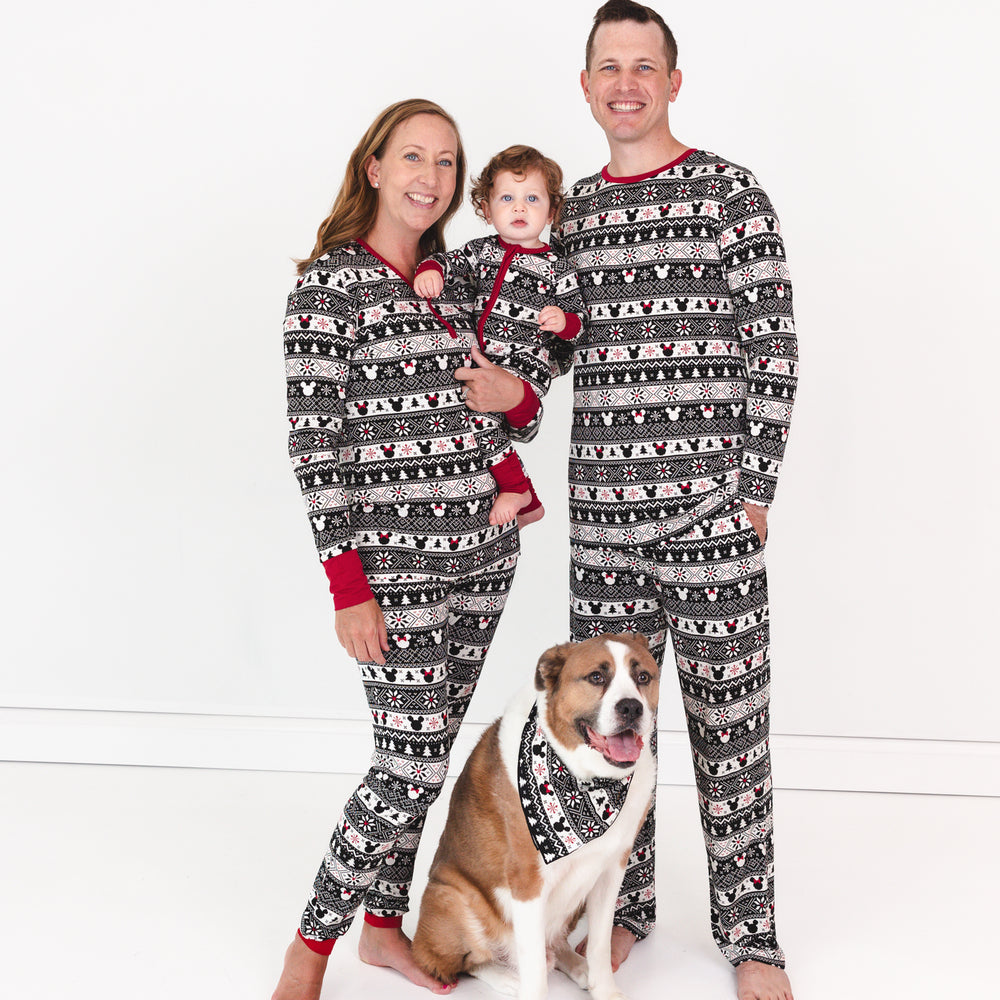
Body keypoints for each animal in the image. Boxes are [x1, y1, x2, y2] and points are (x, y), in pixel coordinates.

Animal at [410, 636, 660, 996]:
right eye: (596, 677)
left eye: (643, 677)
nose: (631, 707)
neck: (587, 780)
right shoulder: (527, 882)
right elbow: (535, 967)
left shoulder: (612, 870)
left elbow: (599, 944)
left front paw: (604, 990)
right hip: (452, 895)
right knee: (468, 962)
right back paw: (507, 978)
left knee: (553, 945)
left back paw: (576, 966)